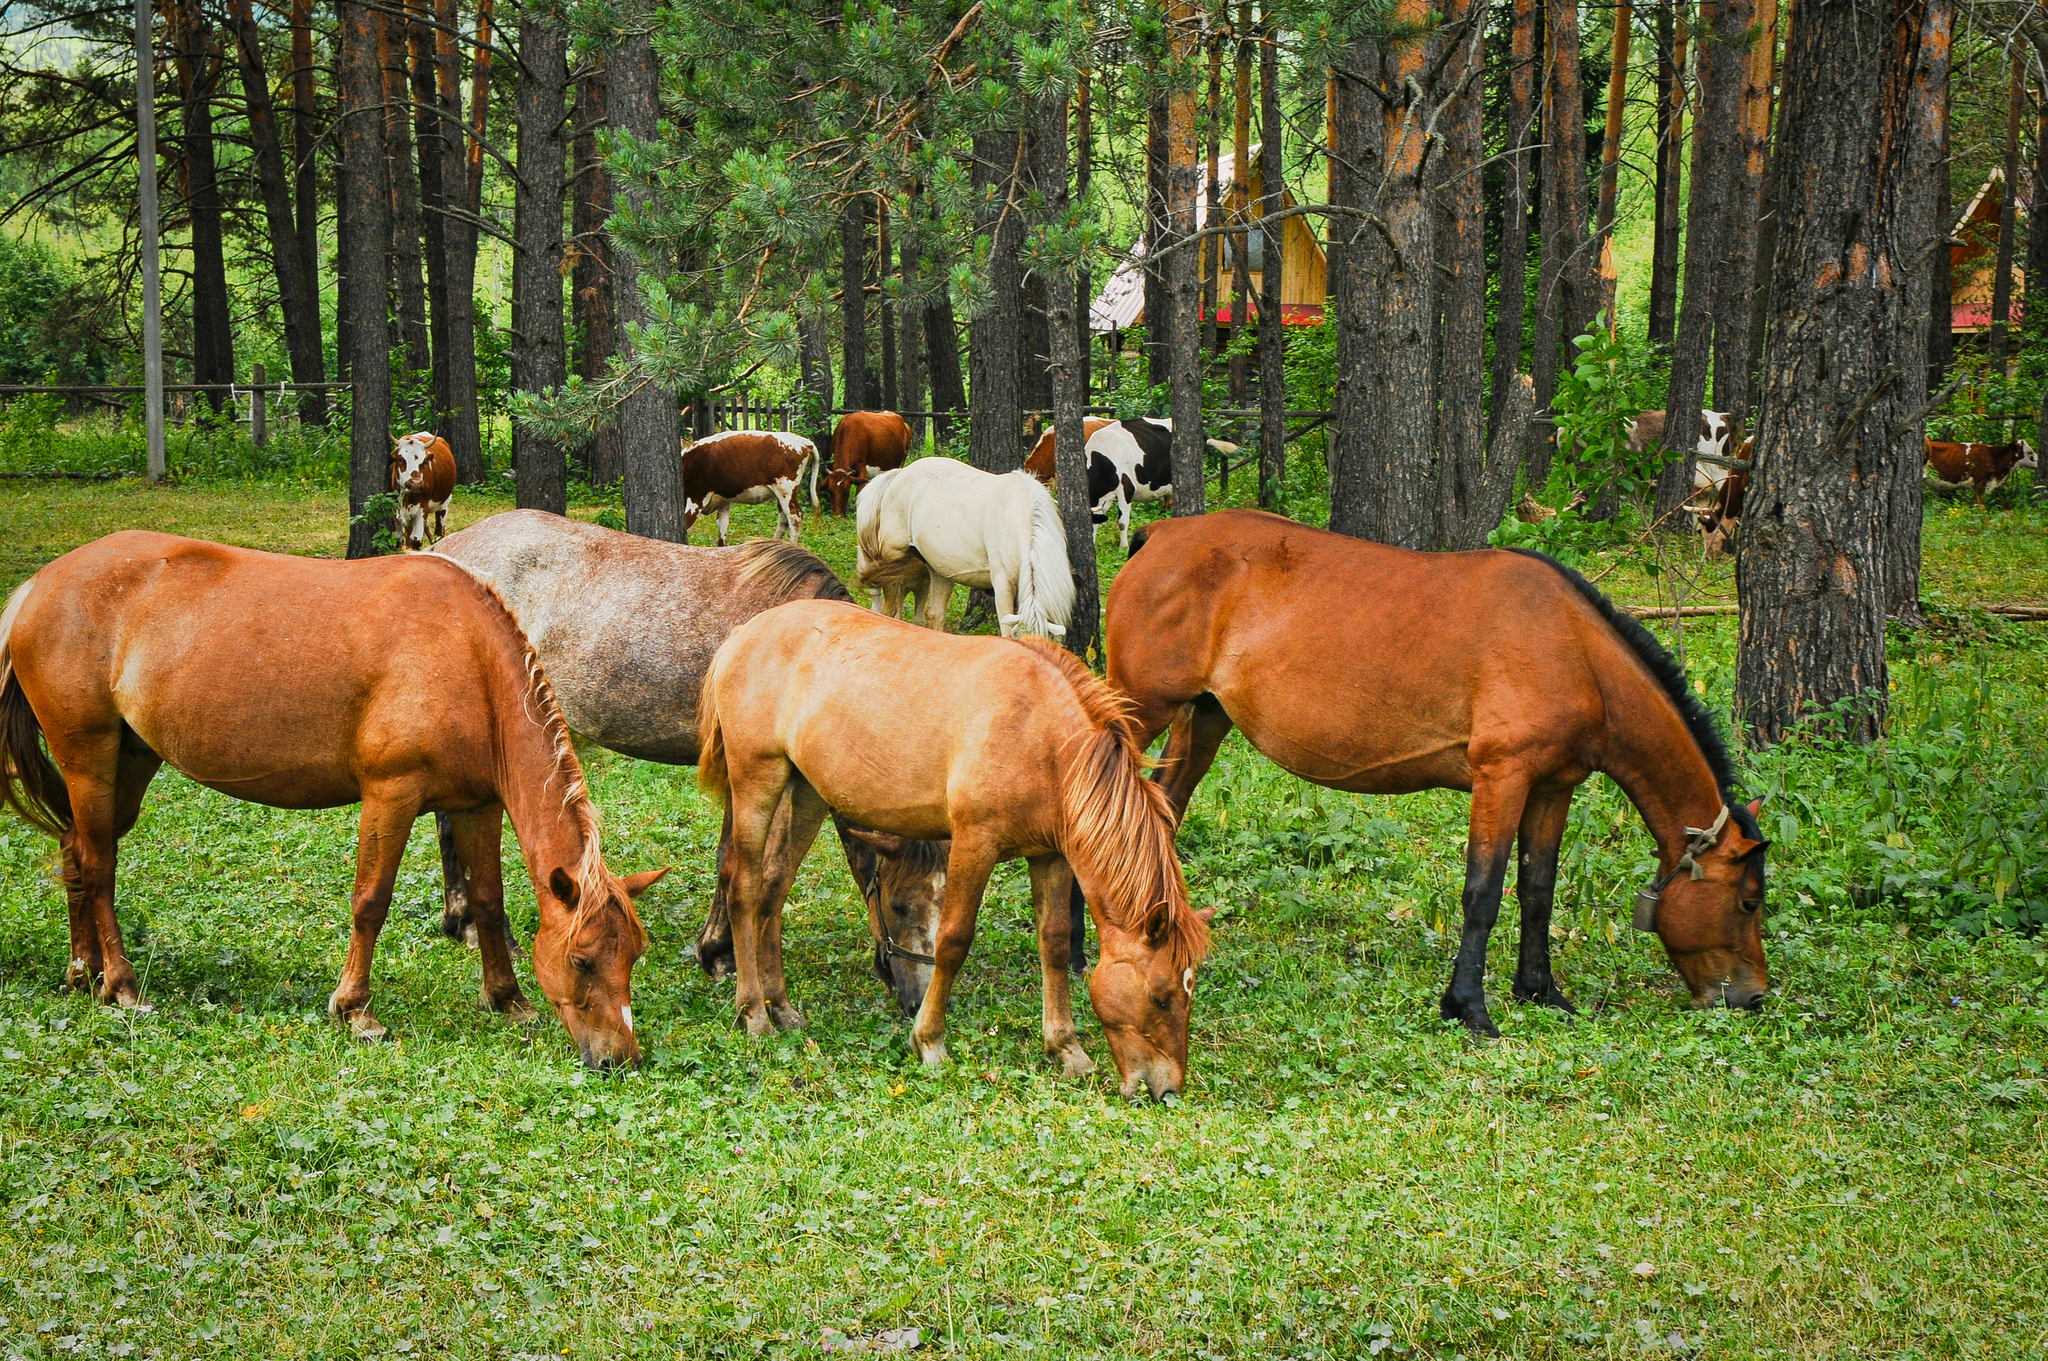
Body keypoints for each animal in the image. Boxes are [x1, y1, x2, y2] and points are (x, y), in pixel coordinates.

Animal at [0, 528, 659, 1064]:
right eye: (582, 961)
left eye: (632, 956)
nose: (620, 1058)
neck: (467, 655)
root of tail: (37, 585)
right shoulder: (390, 796)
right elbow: (371, 902)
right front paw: (356, 1010)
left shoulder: (476, 806)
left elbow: (488, 901)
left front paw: (507, 999)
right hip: (88, 758)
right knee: (96, 864)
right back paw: (120, 983)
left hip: (127, 765)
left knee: (74, 851)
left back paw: (82, 972)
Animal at [704, 605, 1212, 1105]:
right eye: (1161, 996)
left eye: (1189, 994)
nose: (1167, 1089)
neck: (1044, 739)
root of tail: (743, 633)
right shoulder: (974, 842)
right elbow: (952, 941)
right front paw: (928, 1040)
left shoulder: (1050, 857)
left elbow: (1053, 942)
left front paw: (1066, 1048)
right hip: (756, 783)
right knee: (743, 889)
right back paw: (754, 1012)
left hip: (806, 791)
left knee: (774, 889)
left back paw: (782, 1007)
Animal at [851, 456, 1073, 638]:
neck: (1020, 518)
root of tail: (900, 473)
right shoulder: (1002, 585)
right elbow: (1006, 631)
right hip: (892, 562)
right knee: (889, 610)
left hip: (939, 570)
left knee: (935, 614)